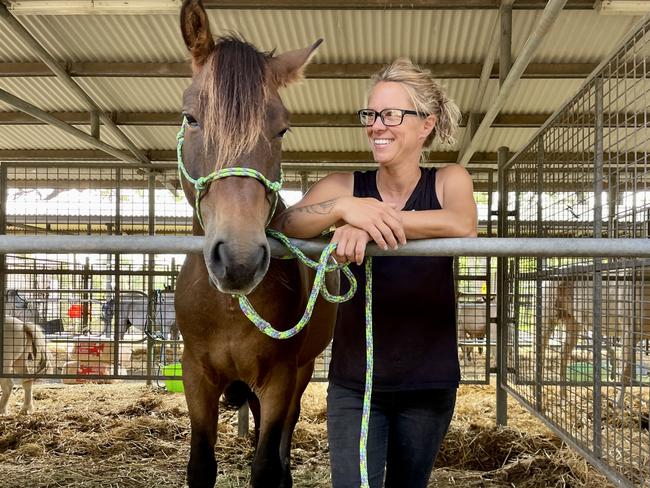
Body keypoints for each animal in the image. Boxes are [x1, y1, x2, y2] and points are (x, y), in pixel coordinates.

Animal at [175, 1, 336, 486]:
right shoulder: (196, 375)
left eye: (282, 129)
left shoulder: (280, 376)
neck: (228, 309)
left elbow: (265, 463)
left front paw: (275, 470)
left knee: (286, 426)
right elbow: (201, 465)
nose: (240, 259)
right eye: (190, 118)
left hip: (302, 370)